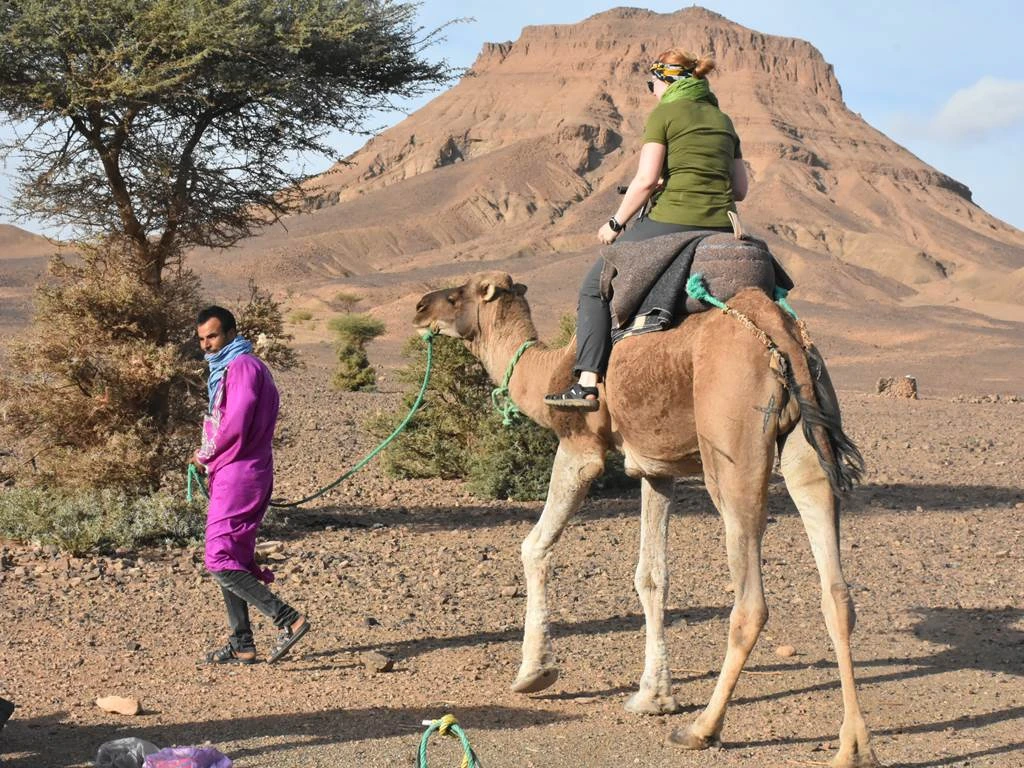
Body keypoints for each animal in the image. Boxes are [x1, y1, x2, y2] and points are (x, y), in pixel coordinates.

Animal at [413, 271, 878, 768]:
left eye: (455, 295)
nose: (420, 308)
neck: (547, 371)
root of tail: (780, 333)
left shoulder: (581, 447)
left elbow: (534, 545)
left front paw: (534, 674)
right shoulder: (657, 467)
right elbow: (651, 577)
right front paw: (653, 697)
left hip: (733, 449)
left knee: (751, 600)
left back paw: (701, 729)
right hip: (807, 437)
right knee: (836, 589)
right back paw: (854, 746)